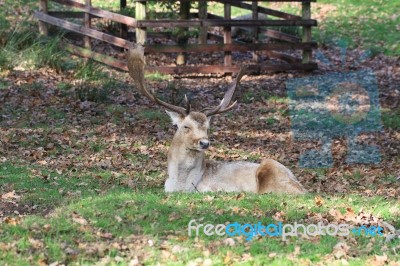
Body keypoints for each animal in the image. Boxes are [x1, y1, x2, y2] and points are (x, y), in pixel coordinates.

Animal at [128, 45, 306, 195]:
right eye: (186, 126)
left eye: (207, 127)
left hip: (272, 169)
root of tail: (302, 186)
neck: (181, 186)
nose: (204, 142)